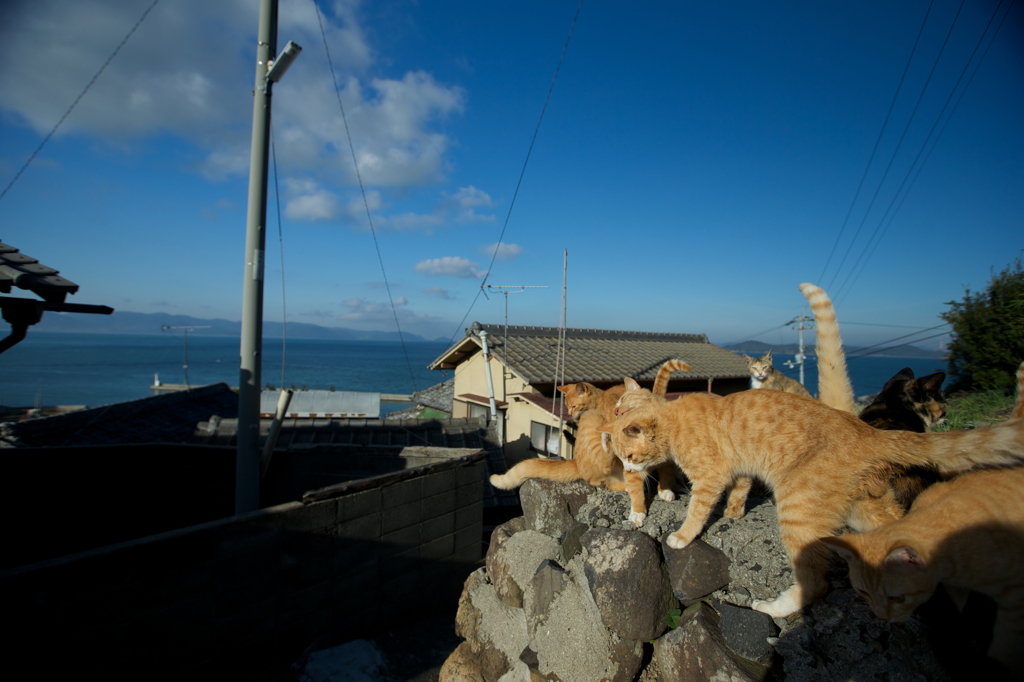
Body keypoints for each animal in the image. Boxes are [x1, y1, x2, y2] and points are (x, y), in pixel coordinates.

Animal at [491, 356, 692, 524]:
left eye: (573, 406)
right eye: (568, 406)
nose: (569, 413)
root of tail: (577, 464)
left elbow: (665, 472)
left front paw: (665, 490)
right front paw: (639, 510)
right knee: (603, 475)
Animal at [598, 368, 1024, 618]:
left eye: (630, 456)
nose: (629, 472)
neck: (674, 417)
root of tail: (867, 433)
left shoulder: (710, 476)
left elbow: (699, 511)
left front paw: (683, 537)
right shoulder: (739, 470)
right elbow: (738, 491)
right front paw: (734, 514)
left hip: (799, 509)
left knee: (816, 583)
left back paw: (775, 608)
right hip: (861, 506)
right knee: (898, 524)